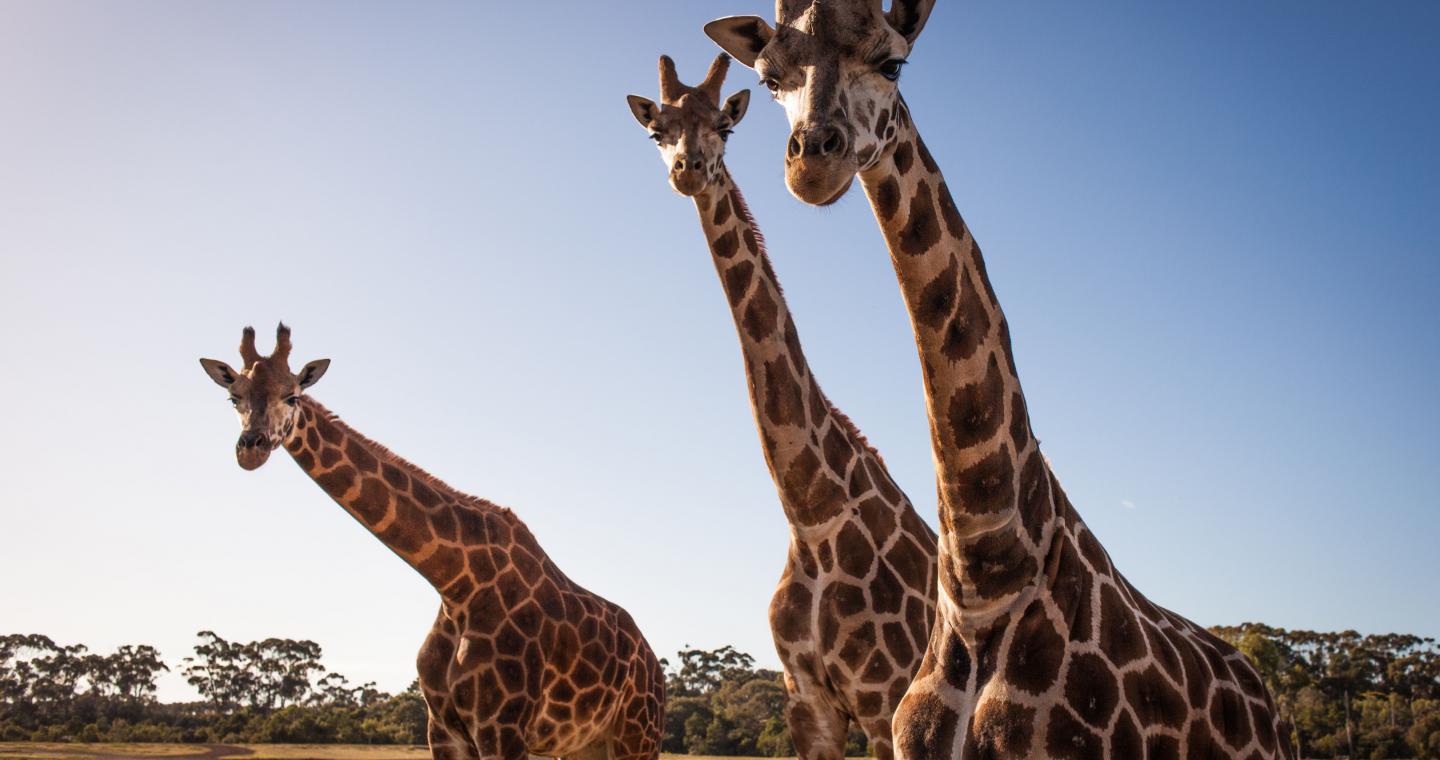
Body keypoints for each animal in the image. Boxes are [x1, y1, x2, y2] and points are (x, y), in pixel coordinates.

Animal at [197, 322, 662, 760]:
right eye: (234, 397)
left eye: (292, 396)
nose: (251, 448)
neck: (455, 584)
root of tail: (653, 664)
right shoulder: (442, 729)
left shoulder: (503, 728)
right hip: (584, 744)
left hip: (637, 735)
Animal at [624, 55, 938, 760]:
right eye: (659, 132)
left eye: (724, 126)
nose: (690, 169)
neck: (811, 515)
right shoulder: (806, 702)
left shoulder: (885, 700)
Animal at [708, 2, 1296, 754]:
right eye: (770, 77)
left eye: (892, 62)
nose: (814, 161)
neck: (984, 579)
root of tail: (1265, 696)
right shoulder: (828, 707)